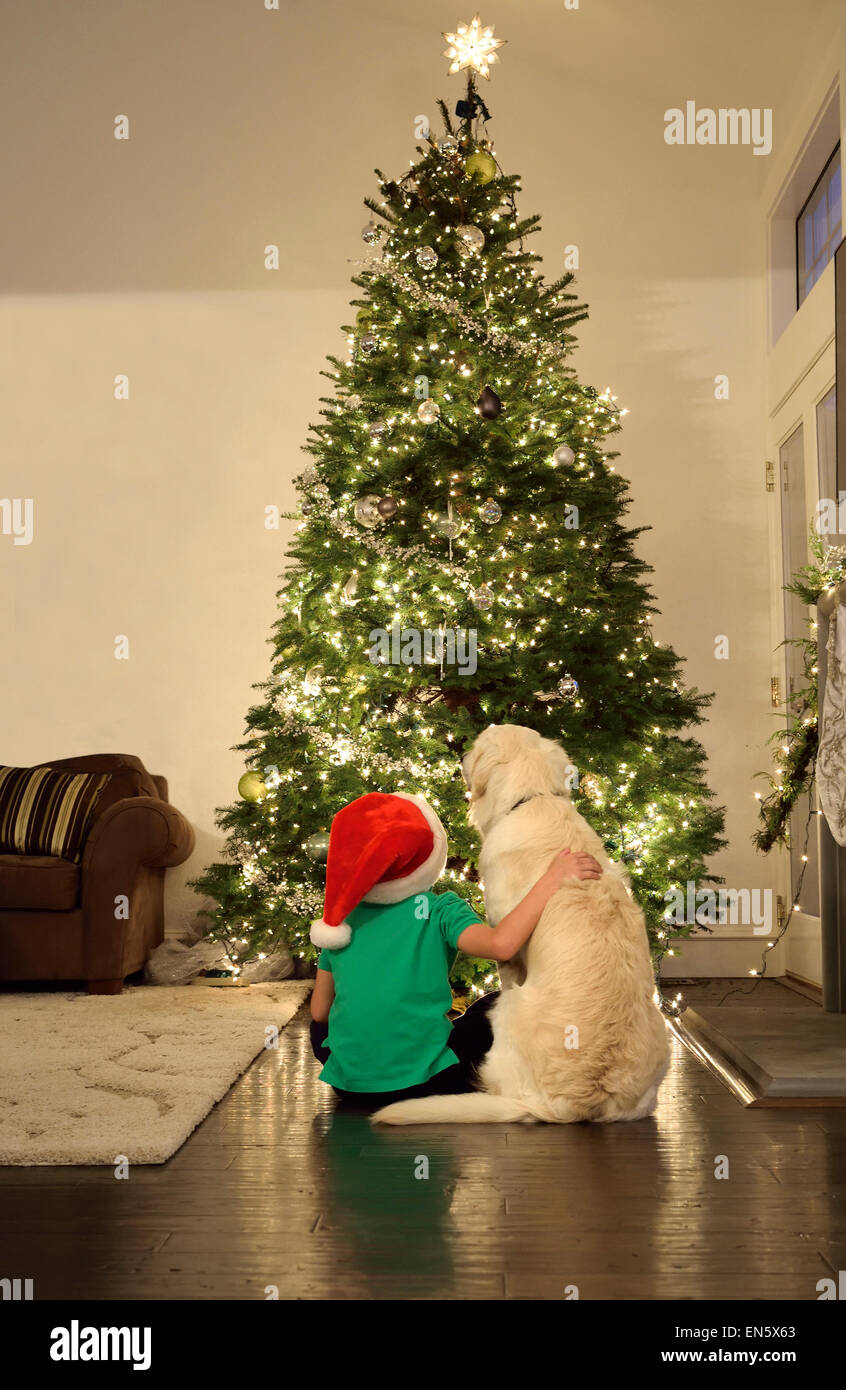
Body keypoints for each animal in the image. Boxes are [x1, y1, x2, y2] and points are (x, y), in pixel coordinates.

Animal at [372, 722, 669, 1123]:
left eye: (477, 745)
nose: (460, 753)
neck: (532, 798)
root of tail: (574, 1103)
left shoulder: (505, 945)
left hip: (503, 1009)